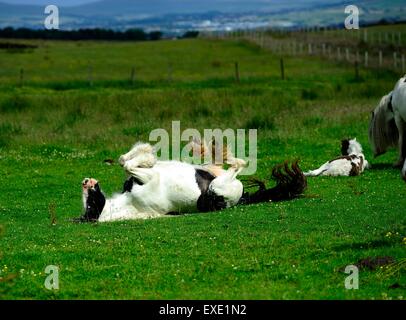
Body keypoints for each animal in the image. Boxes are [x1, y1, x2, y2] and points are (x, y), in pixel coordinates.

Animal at [74, 142, 306, 222]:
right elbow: (128, 164)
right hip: (216, 186)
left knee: (220, 163)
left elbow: (124, 160)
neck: (129, 202)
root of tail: (241, 199)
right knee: (238, 164)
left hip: (212, 174)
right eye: (90, 206)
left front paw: (145, 153)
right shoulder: (148, 178)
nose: (86, 182)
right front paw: (148, 154)